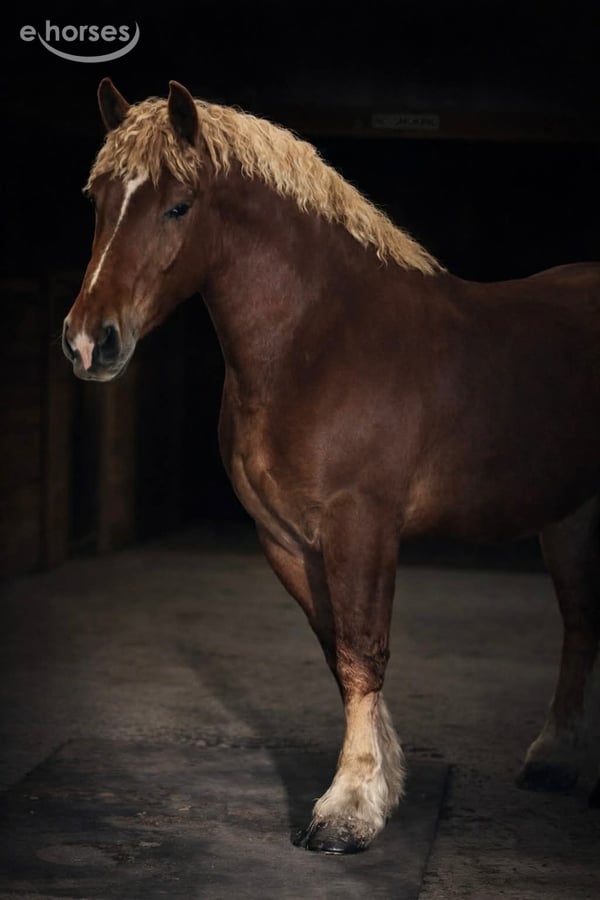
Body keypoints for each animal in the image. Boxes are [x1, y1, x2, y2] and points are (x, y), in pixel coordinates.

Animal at [62, 78, 600, 854]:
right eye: (97, 198)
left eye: (178, 205)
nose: (87, 343)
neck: (319, 340)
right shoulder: (288, 540)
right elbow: (336, 654)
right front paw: (380, 782)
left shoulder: (361, 527)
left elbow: (362, 650)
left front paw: (348, 810)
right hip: (568, 514)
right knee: (581, 620)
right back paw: (555, 758)